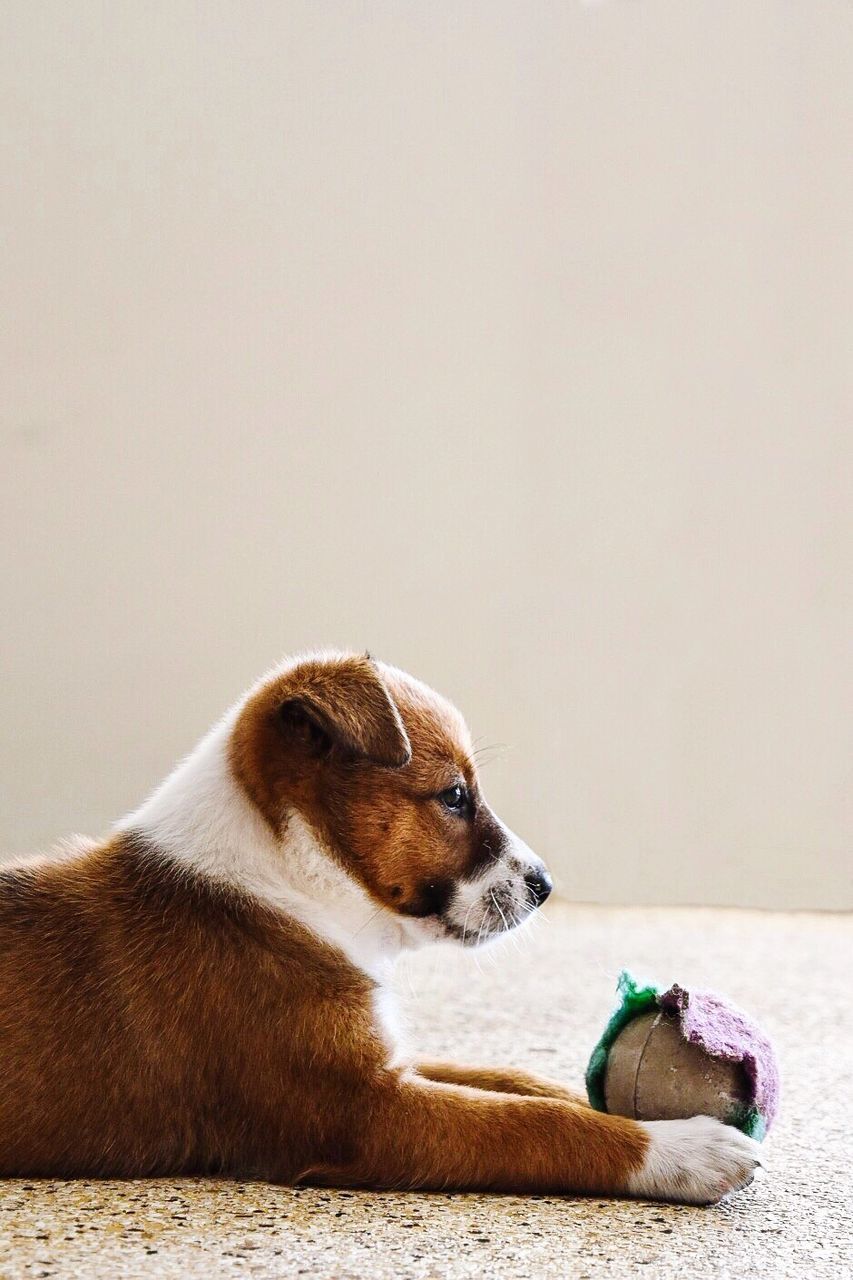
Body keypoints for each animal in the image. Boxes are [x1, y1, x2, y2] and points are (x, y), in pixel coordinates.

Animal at [0, 655, 758, 1203]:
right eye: (454, 797)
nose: (546, 886)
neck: (286, 884)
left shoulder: (387, 1062)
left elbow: (512, 1080)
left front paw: (618, 1106)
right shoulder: (364, 1111)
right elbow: (535, 1124)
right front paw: (683, 1149)